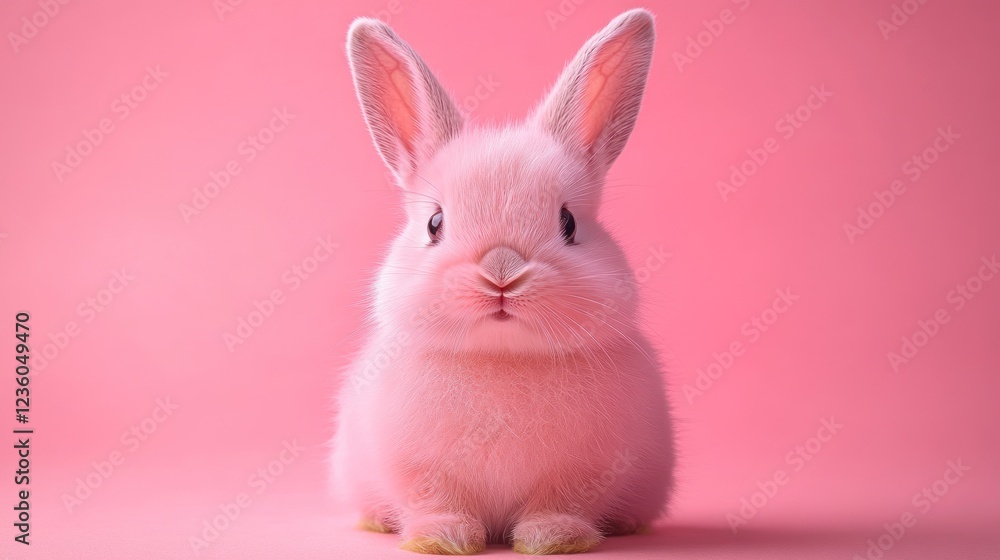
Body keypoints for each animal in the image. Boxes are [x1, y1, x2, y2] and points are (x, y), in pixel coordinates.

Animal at [331, 8, 674, 555]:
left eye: (568, 223)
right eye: (435, 224)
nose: (501, 273)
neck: (502, 356)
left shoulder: (584, 471)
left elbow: (561, 504)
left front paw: (553, 539)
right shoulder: (417, 470)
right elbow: (436, 501)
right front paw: (443, 539)